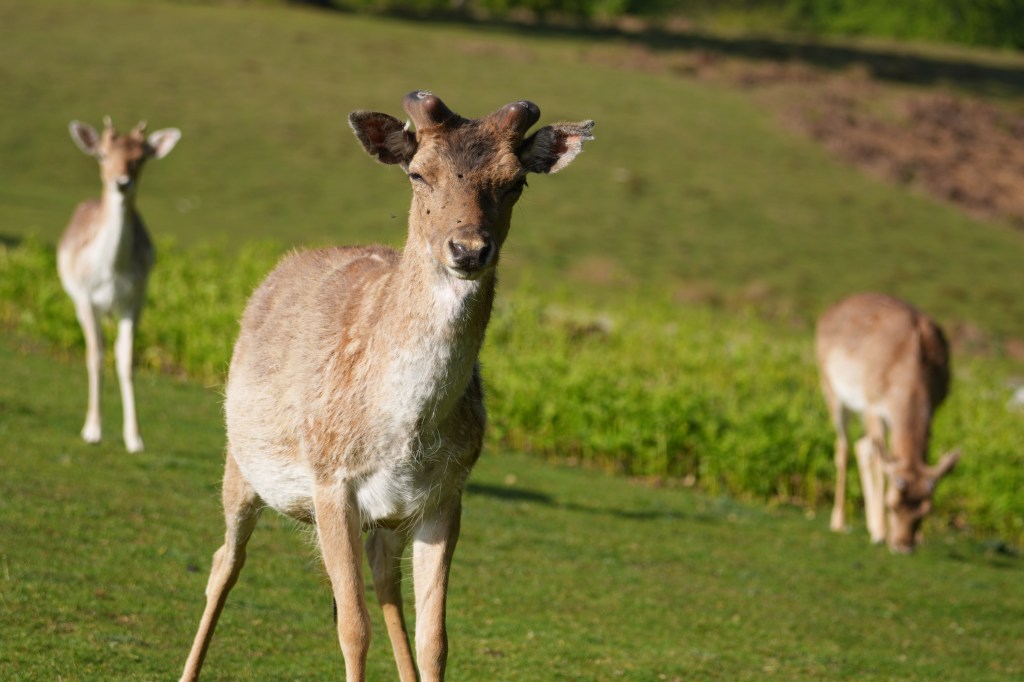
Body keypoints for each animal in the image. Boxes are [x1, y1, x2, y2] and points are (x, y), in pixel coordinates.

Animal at [59, 117, 181, 453]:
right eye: (102, 154)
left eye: (140, 158)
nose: (121, 182)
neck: (112, 271)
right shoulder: (85, 297)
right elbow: (95, 356)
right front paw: (92, 430)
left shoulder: (134, 301)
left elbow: (126, 360)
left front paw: (135, 438)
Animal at [179, 91, 594, 681]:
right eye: (418, 173)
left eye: (516, 182)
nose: (469, 249)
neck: (403, 432)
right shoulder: (330, 479)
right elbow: (353, 629)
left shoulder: (445, 495)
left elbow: (434, 638)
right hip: (240, 462)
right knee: (225, 562)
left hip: (388, 517)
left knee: (381, 578)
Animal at [815, 292, 960, 553]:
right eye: (891, 505)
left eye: (926, 510)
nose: (903, 546)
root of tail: (830, 310)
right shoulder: (874, 407)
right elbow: (880, 464)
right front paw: (880, 533)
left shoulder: (932, 410)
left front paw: (918, 538)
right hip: (833, 394)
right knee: (844, 447)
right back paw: (840, 522)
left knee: (862, 446)